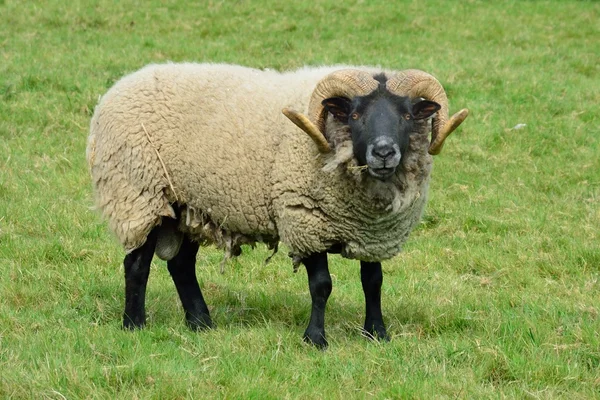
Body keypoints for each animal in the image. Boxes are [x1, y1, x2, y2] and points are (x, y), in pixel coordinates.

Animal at [86, 62, 468, 346]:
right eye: (355, 116)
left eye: (407, 116)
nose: (385, 152)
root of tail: (118, 87)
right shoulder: (304, 219)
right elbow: (322, 285)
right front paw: (315, 339)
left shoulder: (373, 232)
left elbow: (373, 281)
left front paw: (376, 333)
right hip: (140, 195)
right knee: (137, 264)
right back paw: (134, 325)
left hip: (189, 204)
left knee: (180, 265)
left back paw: (201, 323)